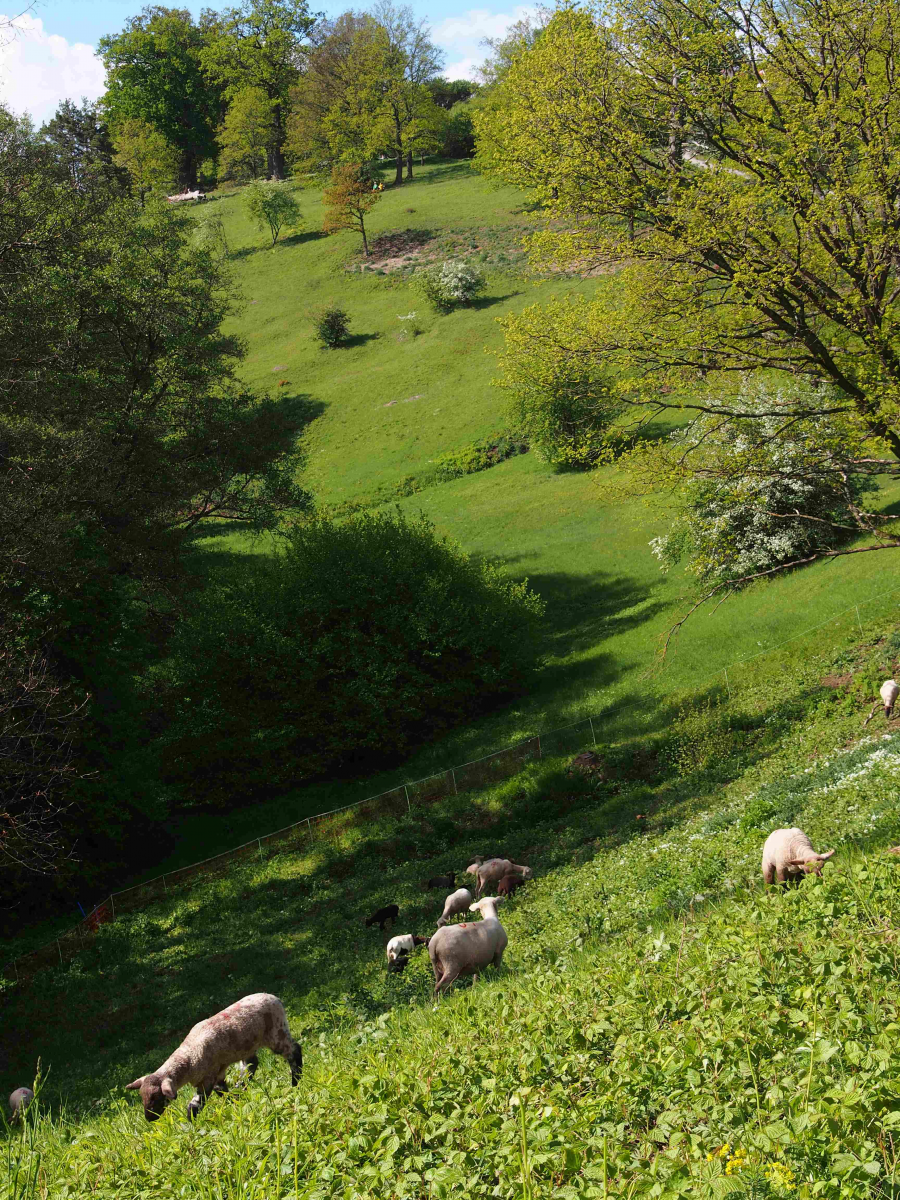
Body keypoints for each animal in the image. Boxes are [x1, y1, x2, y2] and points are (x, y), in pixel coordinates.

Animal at [123, 988, 303, 1118]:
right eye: (142, 1097)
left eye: (157, 1098)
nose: (149, 1119)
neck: (187, 1056)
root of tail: (273, 997)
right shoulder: (216, 1075)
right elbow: (222, 1092)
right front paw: (234, 1103)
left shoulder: (207, 1078)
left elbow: (195, 1105)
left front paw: (192, 1123)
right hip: (247, 1046)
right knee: (251, 1065)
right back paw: (240, 1087)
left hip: (276, 1033)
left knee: (294, 1051)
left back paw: (296, 1081)